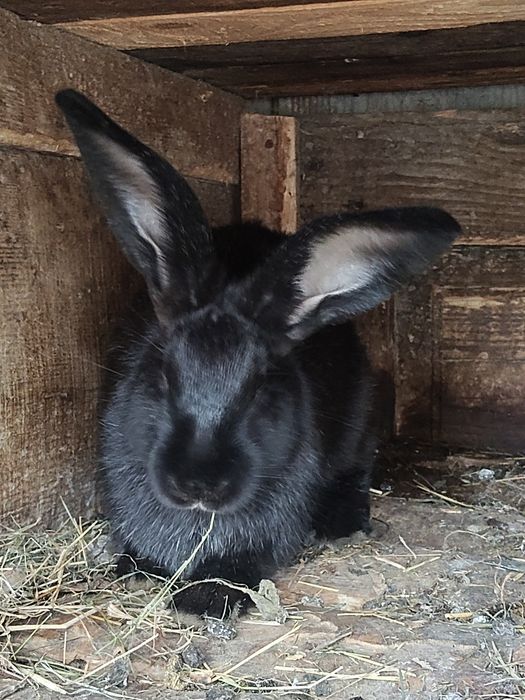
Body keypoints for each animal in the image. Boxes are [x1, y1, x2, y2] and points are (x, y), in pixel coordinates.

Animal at [55, 89, 460, 618]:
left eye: (259, 387)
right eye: (162, 373)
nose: (198, 483)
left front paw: (210, 595)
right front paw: (136, 567)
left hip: (359, 422)